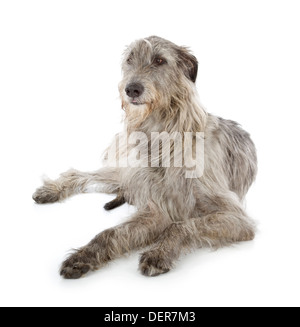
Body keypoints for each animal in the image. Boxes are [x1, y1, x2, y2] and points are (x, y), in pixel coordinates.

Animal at [33, 37, 258, 280]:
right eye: (130, 59)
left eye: (159, 60)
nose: (131, 89)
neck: (163, 137)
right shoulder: (158, 207)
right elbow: (111, 233)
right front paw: (84, 256)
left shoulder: (235, 217)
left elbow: (181, 226)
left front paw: (160, 253)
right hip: (128, 172)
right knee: (79, 173)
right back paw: (51, 190)